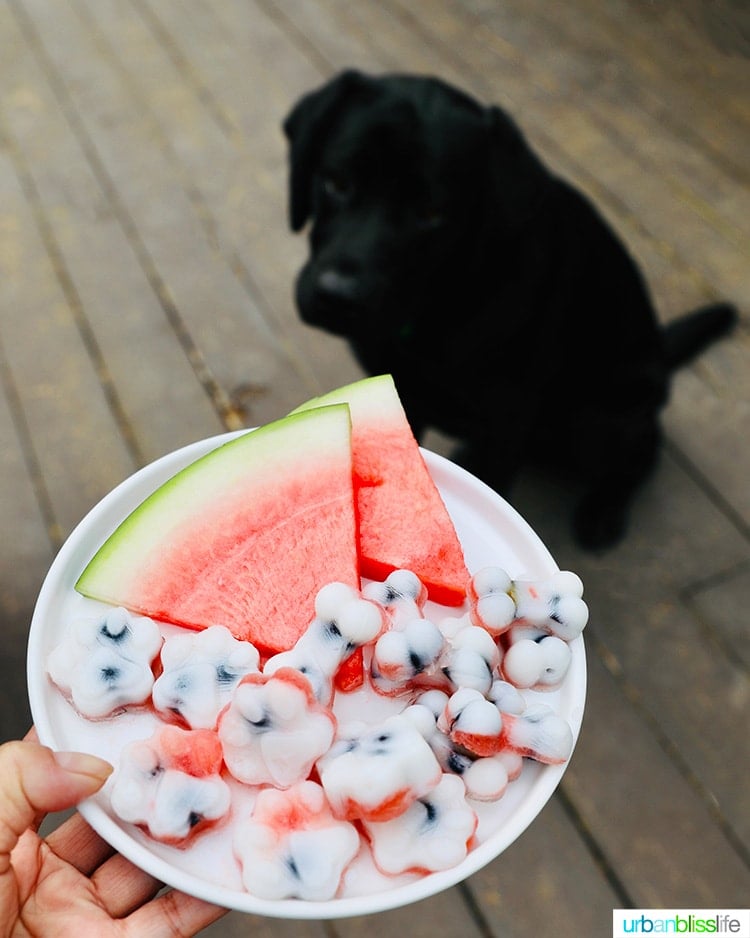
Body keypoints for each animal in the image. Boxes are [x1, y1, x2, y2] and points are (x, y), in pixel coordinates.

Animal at [284, 71, 736, 548]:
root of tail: (661, 356)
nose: (336, 296)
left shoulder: (507, 421)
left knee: (645, 449)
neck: (432, 316)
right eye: (335, 182)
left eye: (431, 213)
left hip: (598, 420)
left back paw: (604, 510)